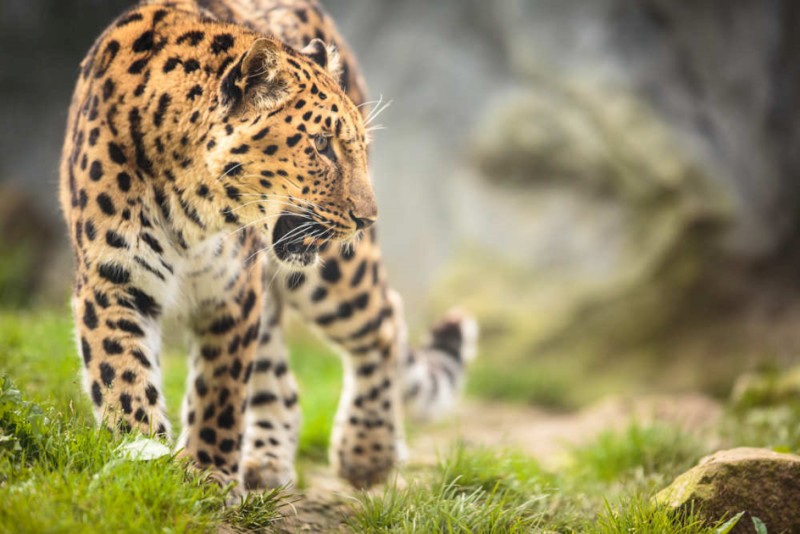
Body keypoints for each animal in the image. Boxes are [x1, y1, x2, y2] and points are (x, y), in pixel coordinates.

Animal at [61, 0, 482, 494]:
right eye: (321, 145)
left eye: (357, 147)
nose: (369, 217)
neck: (190, 206)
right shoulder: (114, 280)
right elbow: (122, 376)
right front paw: (142, 463)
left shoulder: (234, 291)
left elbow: (220, 391)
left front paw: (207, 474)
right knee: (283, 386)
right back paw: (265, 460)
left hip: (333, 279)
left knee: (384, 321)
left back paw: (368, 450)